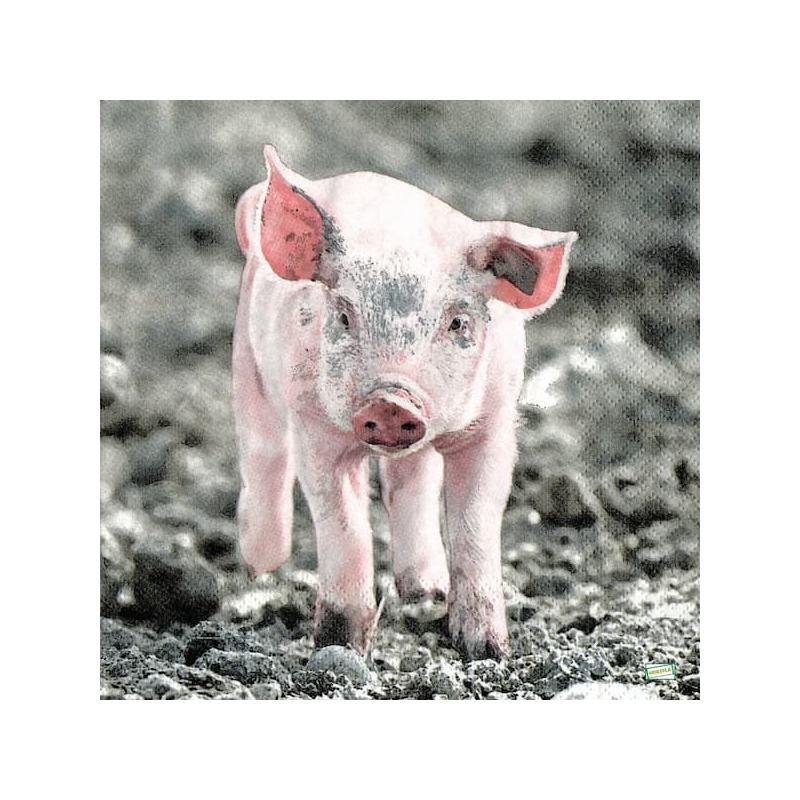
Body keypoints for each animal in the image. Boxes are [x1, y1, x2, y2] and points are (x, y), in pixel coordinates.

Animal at [233, 146, 577, 660]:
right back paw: (261, 569)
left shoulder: (493, 423)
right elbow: (344, 523)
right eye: (343, 316)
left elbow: (475, 521)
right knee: (265, 463)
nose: (391, 401)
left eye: (457, 322)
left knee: (411, 482)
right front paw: (338, 650)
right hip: (248, 371)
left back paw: (424, 592)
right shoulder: (314, 423)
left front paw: (487, 651)